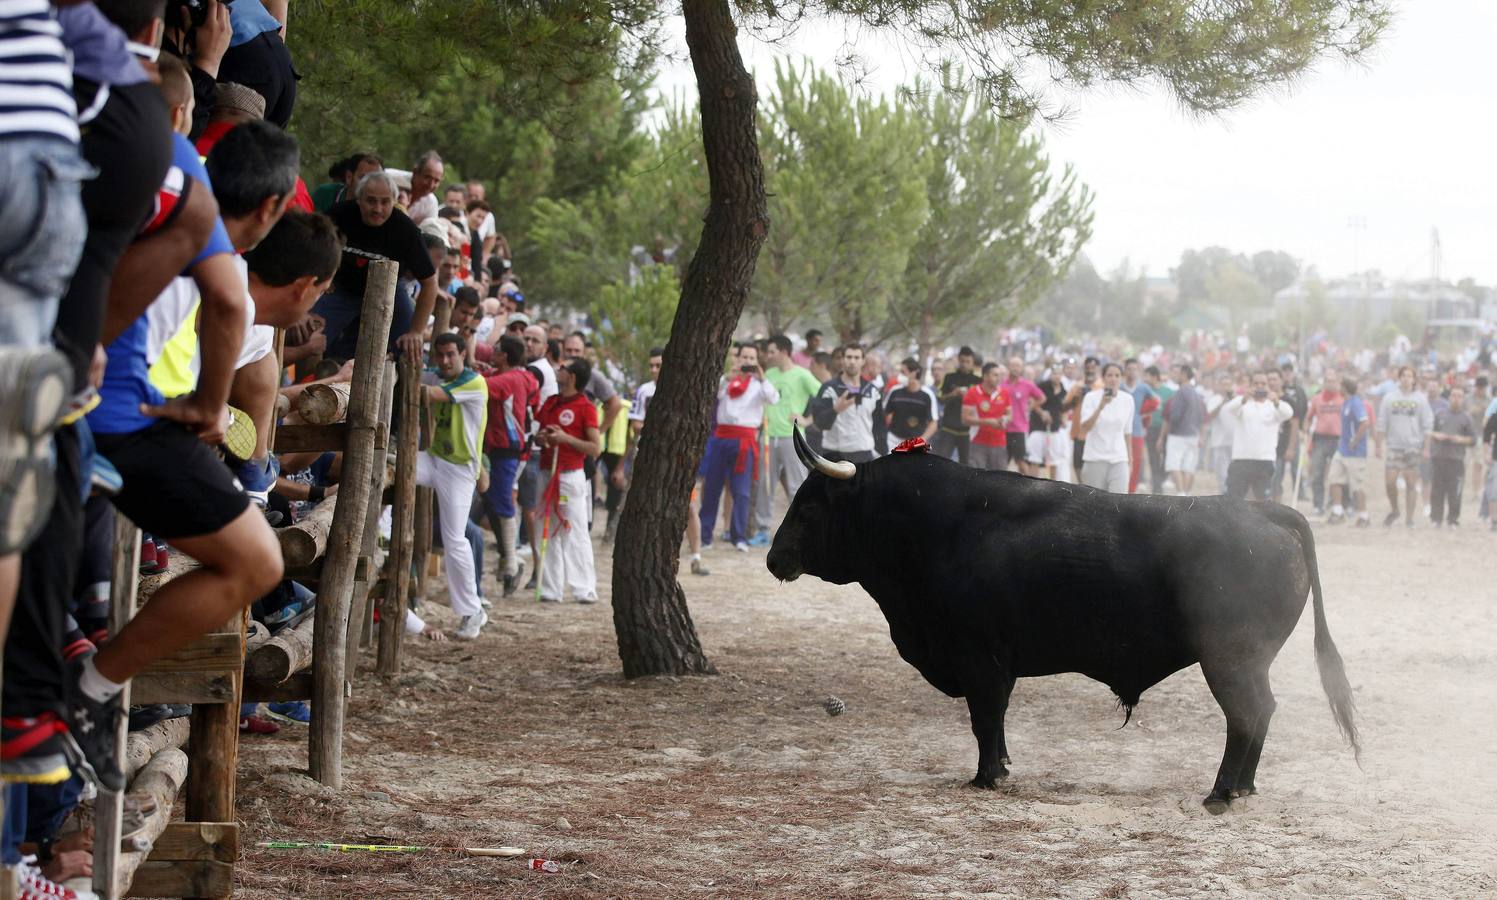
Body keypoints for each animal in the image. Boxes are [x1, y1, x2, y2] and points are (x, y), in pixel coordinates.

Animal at [766, 425, 1365, 808]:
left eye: (811, 505)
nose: (774, 559)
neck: (938, 526)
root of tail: (1262, 508)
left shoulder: (980, 661)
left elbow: (985, 719)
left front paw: (986, 778)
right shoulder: (994, 665)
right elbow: (996, 723)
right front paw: (1002, 767)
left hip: (1230, 660)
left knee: (1248, 713)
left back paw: (1221, 792)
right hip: (1245, 662)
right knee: (1260, 713)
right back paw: (1243, 787)